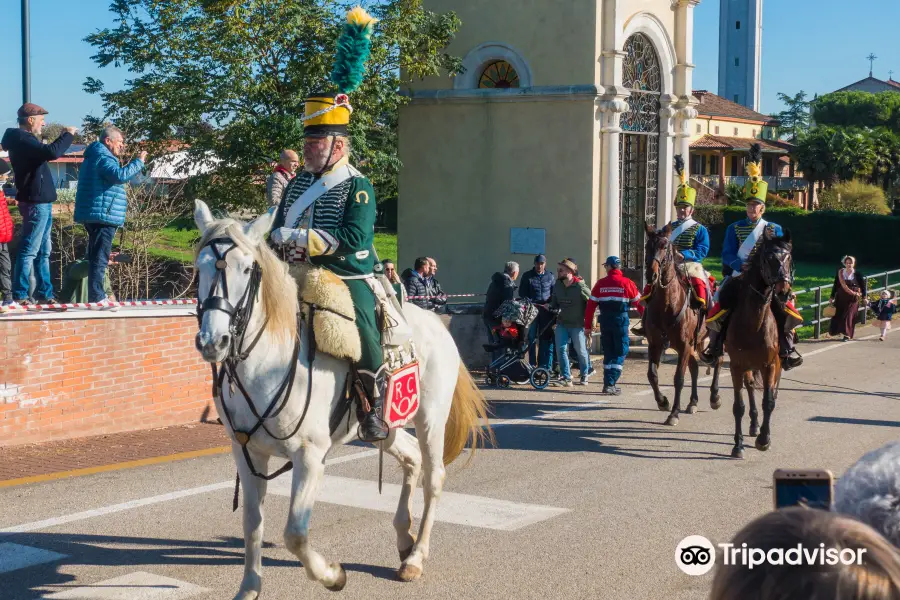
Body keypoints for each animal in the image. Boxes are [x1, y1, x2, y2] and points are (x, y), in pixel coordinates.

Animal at [192, 203, 492, 600]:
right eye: (200, 267)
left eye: (246, 269)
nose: (213, 342)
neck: (269, 363)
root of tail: (433, 321)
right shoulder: (248, 453)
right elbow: (252, 524)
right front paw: (249, 588)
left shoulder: (310, 456)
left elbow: (295, 534)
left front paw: (333, 575)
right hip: (385, 427)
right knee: (411, 458)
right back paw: (404, 538)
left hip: (430, 418)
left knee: (434, 476)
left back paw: (416, 558)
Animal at [640, 224, 716, 426]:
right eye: (647, 246)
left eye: (665, 246)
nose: (651, 275)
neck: (667, 304)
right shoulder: (655, 344)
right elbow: (652, 375)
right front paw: (663, 402)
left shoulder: (683, 346)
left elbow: (679, 379)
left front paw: (674, 413)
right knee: (695, 368)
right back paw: (693, 402)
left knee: (719, 361)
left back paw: (715, 397)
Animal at [716, 230, 796, 460]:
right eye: (767, 258)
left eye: (789, 257)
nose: (783, 290)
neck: (754, 322)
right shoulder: (736, 366)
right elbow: (738, 406)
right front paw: (738, 445)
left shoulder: (770, 365)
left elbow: (768, 401)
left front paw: (764, 439)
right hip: (747, 366)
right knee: (750, 387)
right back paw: (752, 425)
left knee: (769, 394)